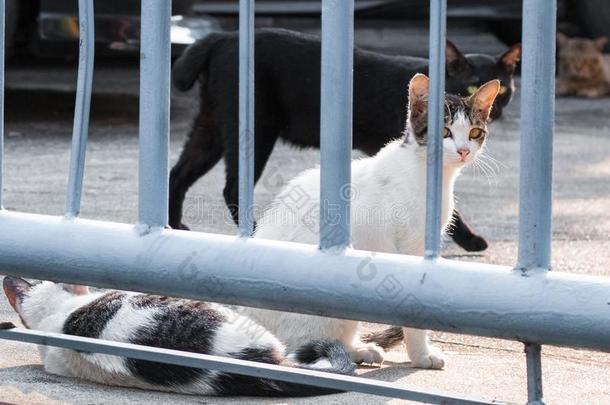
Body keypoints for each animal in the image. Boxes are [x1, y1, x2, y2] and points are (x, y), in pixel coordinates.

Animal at [170, 27, 516, 252]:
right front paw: (469, 239)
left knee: (177, 173)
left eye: (504, 91)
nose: (495, 110)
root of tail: (224, 36)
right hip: (254, 128)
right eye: (471, 85)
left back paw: (173, 226)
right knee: (232, 188)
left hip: (210, 126)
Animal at [233, 72, 498, 370]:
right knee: (303, 346)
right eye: (444, 132)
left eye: (474, 132)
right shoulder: (409, 247)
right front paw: (421, 355)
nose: (463, 151)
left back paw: (359, 350)